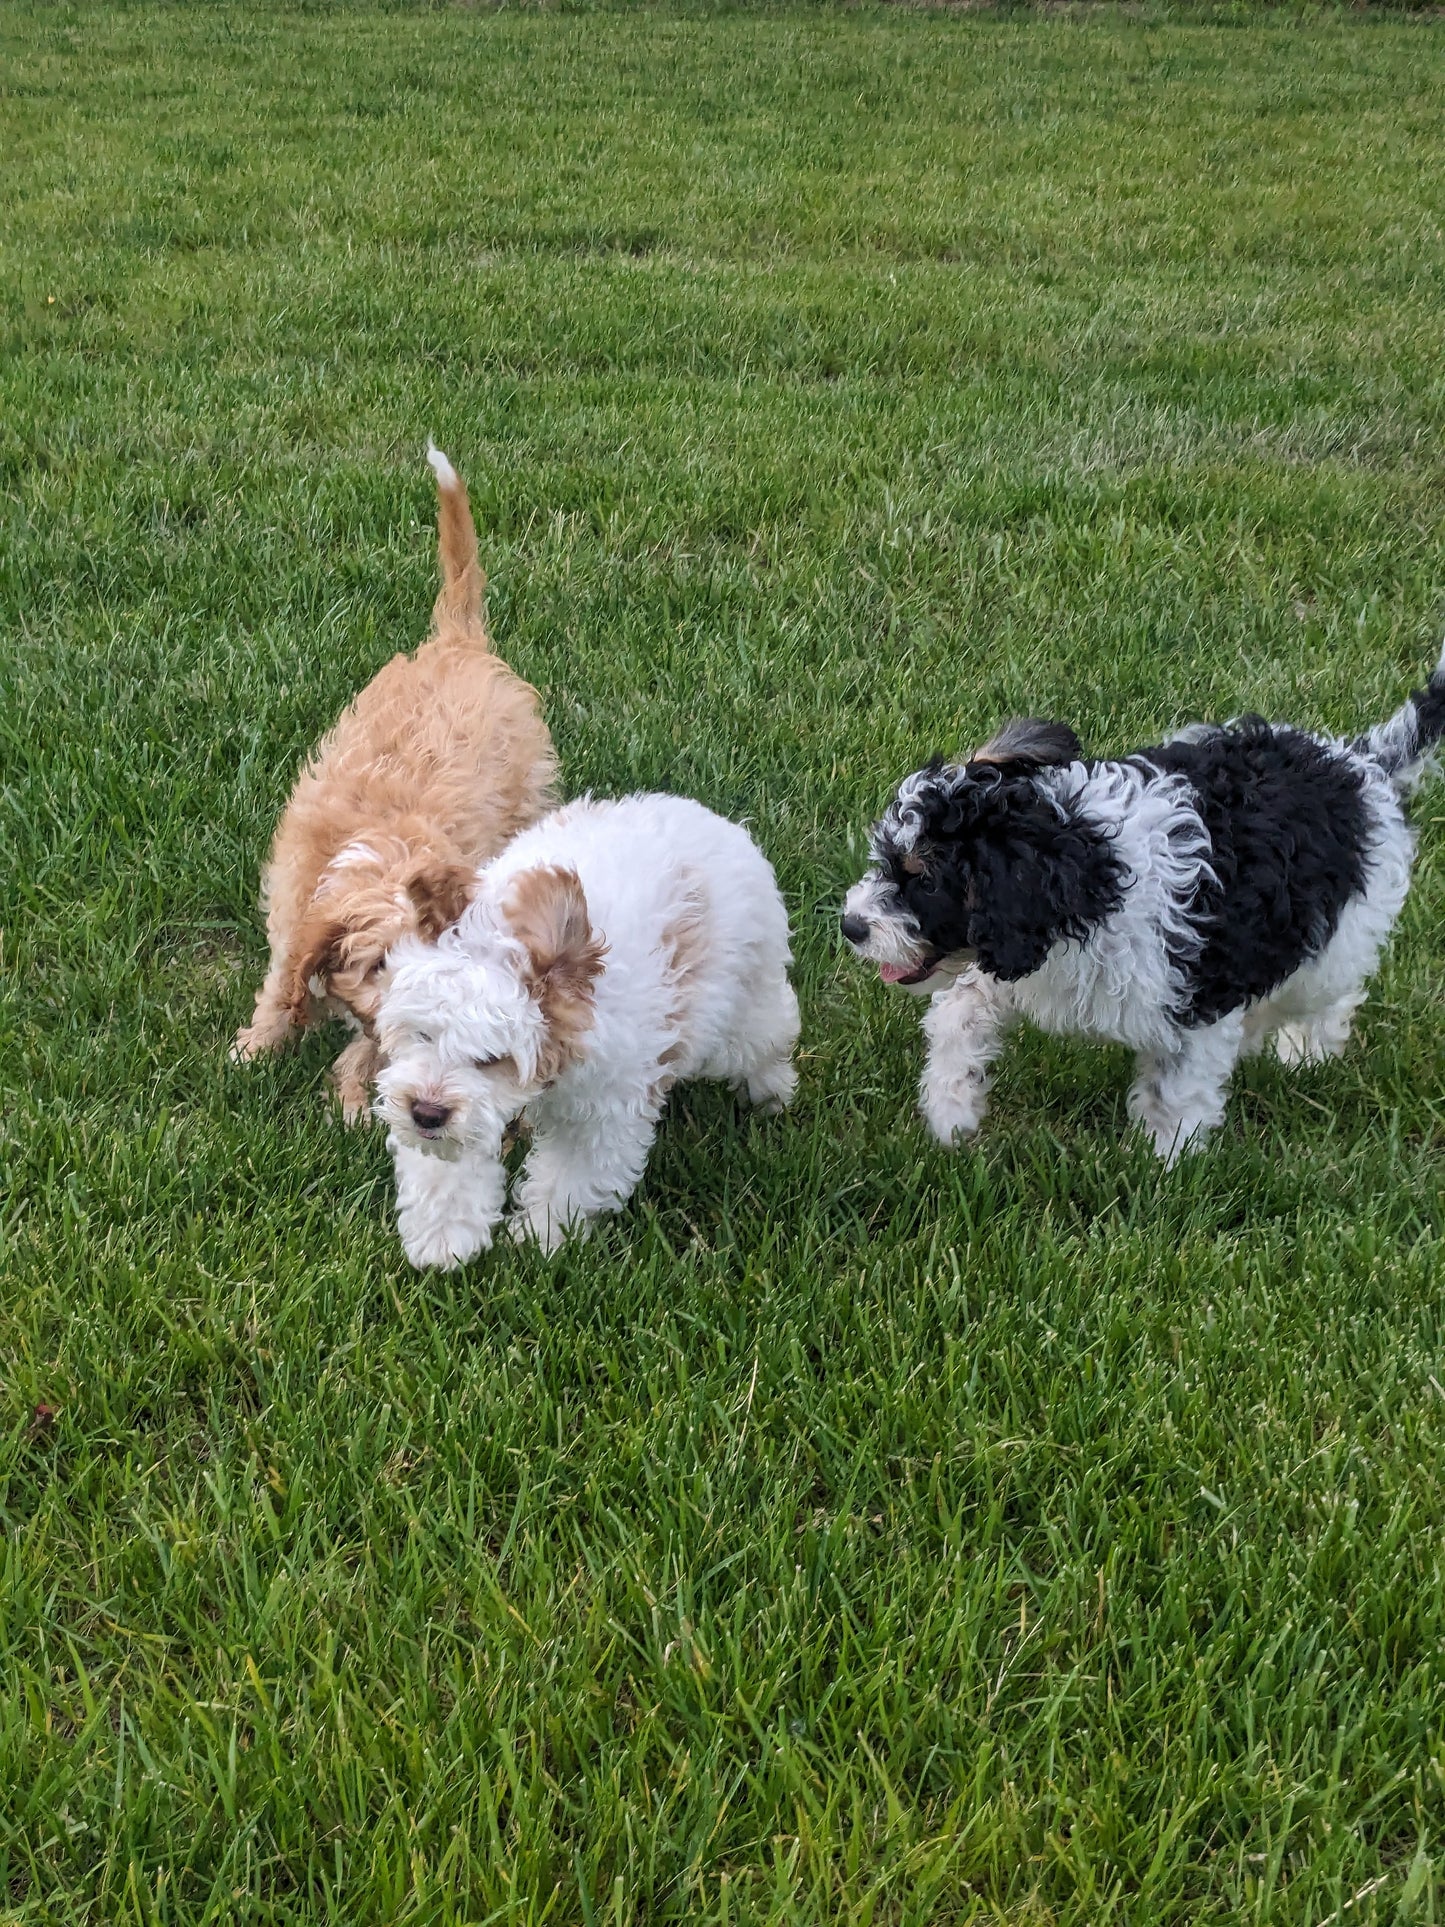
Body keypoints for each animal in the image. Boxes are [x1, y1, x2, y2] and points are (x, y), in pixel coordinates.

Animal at [373, 790, 805, 1271]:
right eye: (423, 1035)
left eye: (492, 1059)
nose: (426, 1113)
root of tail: (711, 820)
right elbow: (446, 1165)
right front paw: (444, 1237)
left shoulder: (604, 1109)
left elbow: (570, 1177)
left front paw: (540, 1238)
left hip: (742, 999)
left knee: (768, 1031)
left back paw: (771, 1091)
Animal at [843, 647, 1441, 1156]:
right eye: (887, 859)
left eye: (926, 881)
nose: (851, 926)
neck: (1088, 871)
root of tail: (1361, 767)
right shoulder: (1005, 966)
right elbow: (958, 1015)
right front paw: (950, 1111)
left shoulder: (1195, 1003)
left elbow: (1175, 1090)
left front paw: (1163, 1167)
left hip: (1330, 943)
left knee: (1328, 996)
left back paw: (1305, 1054)